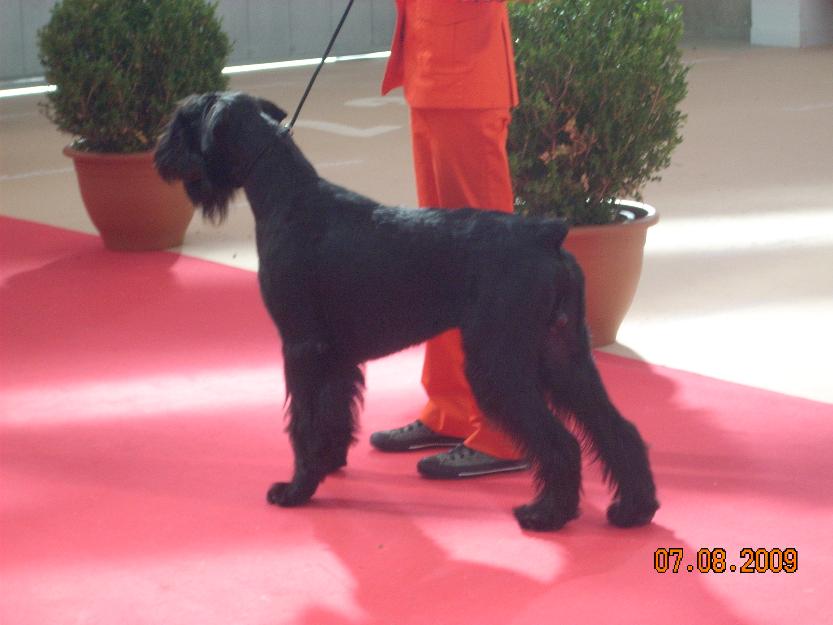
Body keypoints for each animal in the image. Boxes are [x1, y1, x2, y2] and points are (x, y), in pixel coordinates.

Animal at [154, 91, 656, 532]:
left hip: (500, 364)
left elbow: (303, 420)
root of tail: (546, 235)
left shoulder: (300, 346)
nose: (159, 154)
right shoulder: (335, 355)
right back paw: (633, 509)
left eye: (182, 122)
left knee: (563, 442)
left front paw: (297, 488)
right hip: (563, 353)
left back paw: (547, 514)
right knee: (618, 428)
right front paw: (327, 464)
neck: (287, 197)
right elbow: (334, 412)